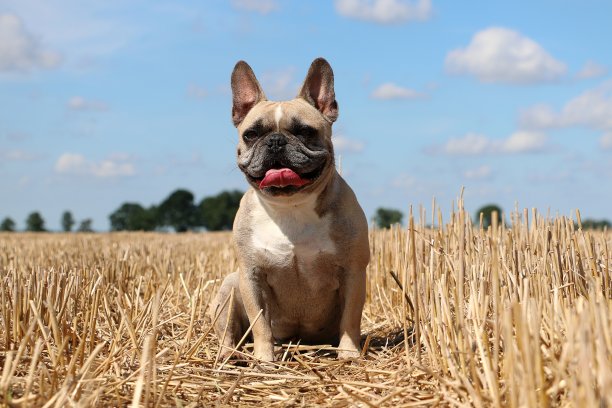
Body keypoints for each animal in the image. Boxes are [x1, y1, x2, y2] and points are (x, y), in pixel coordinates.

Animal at [212, 57, 368, 360]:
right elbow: (261, 323)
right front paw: (264, 358)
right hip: (229, 286)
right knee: (228, 331)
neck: (290, 206)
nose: (275, 141)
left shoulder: (354, 272)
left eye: (305, 131)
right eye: (251, 134)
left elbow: (350, 319)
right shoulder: (251, 276)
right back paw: (229, 355)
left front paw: (349, 354)